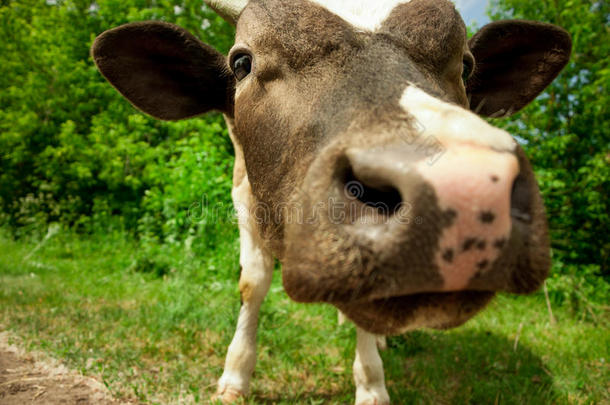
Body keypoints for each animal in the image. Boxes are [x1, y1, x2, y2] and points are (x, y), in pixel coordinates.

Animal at [91, 1, 568, 402]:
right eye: (242, 62)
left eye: (466, 65)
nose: (462, 187)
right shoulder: (243, 197)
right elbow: (252, 284)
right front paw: (235, 376)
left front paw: (371, 384)